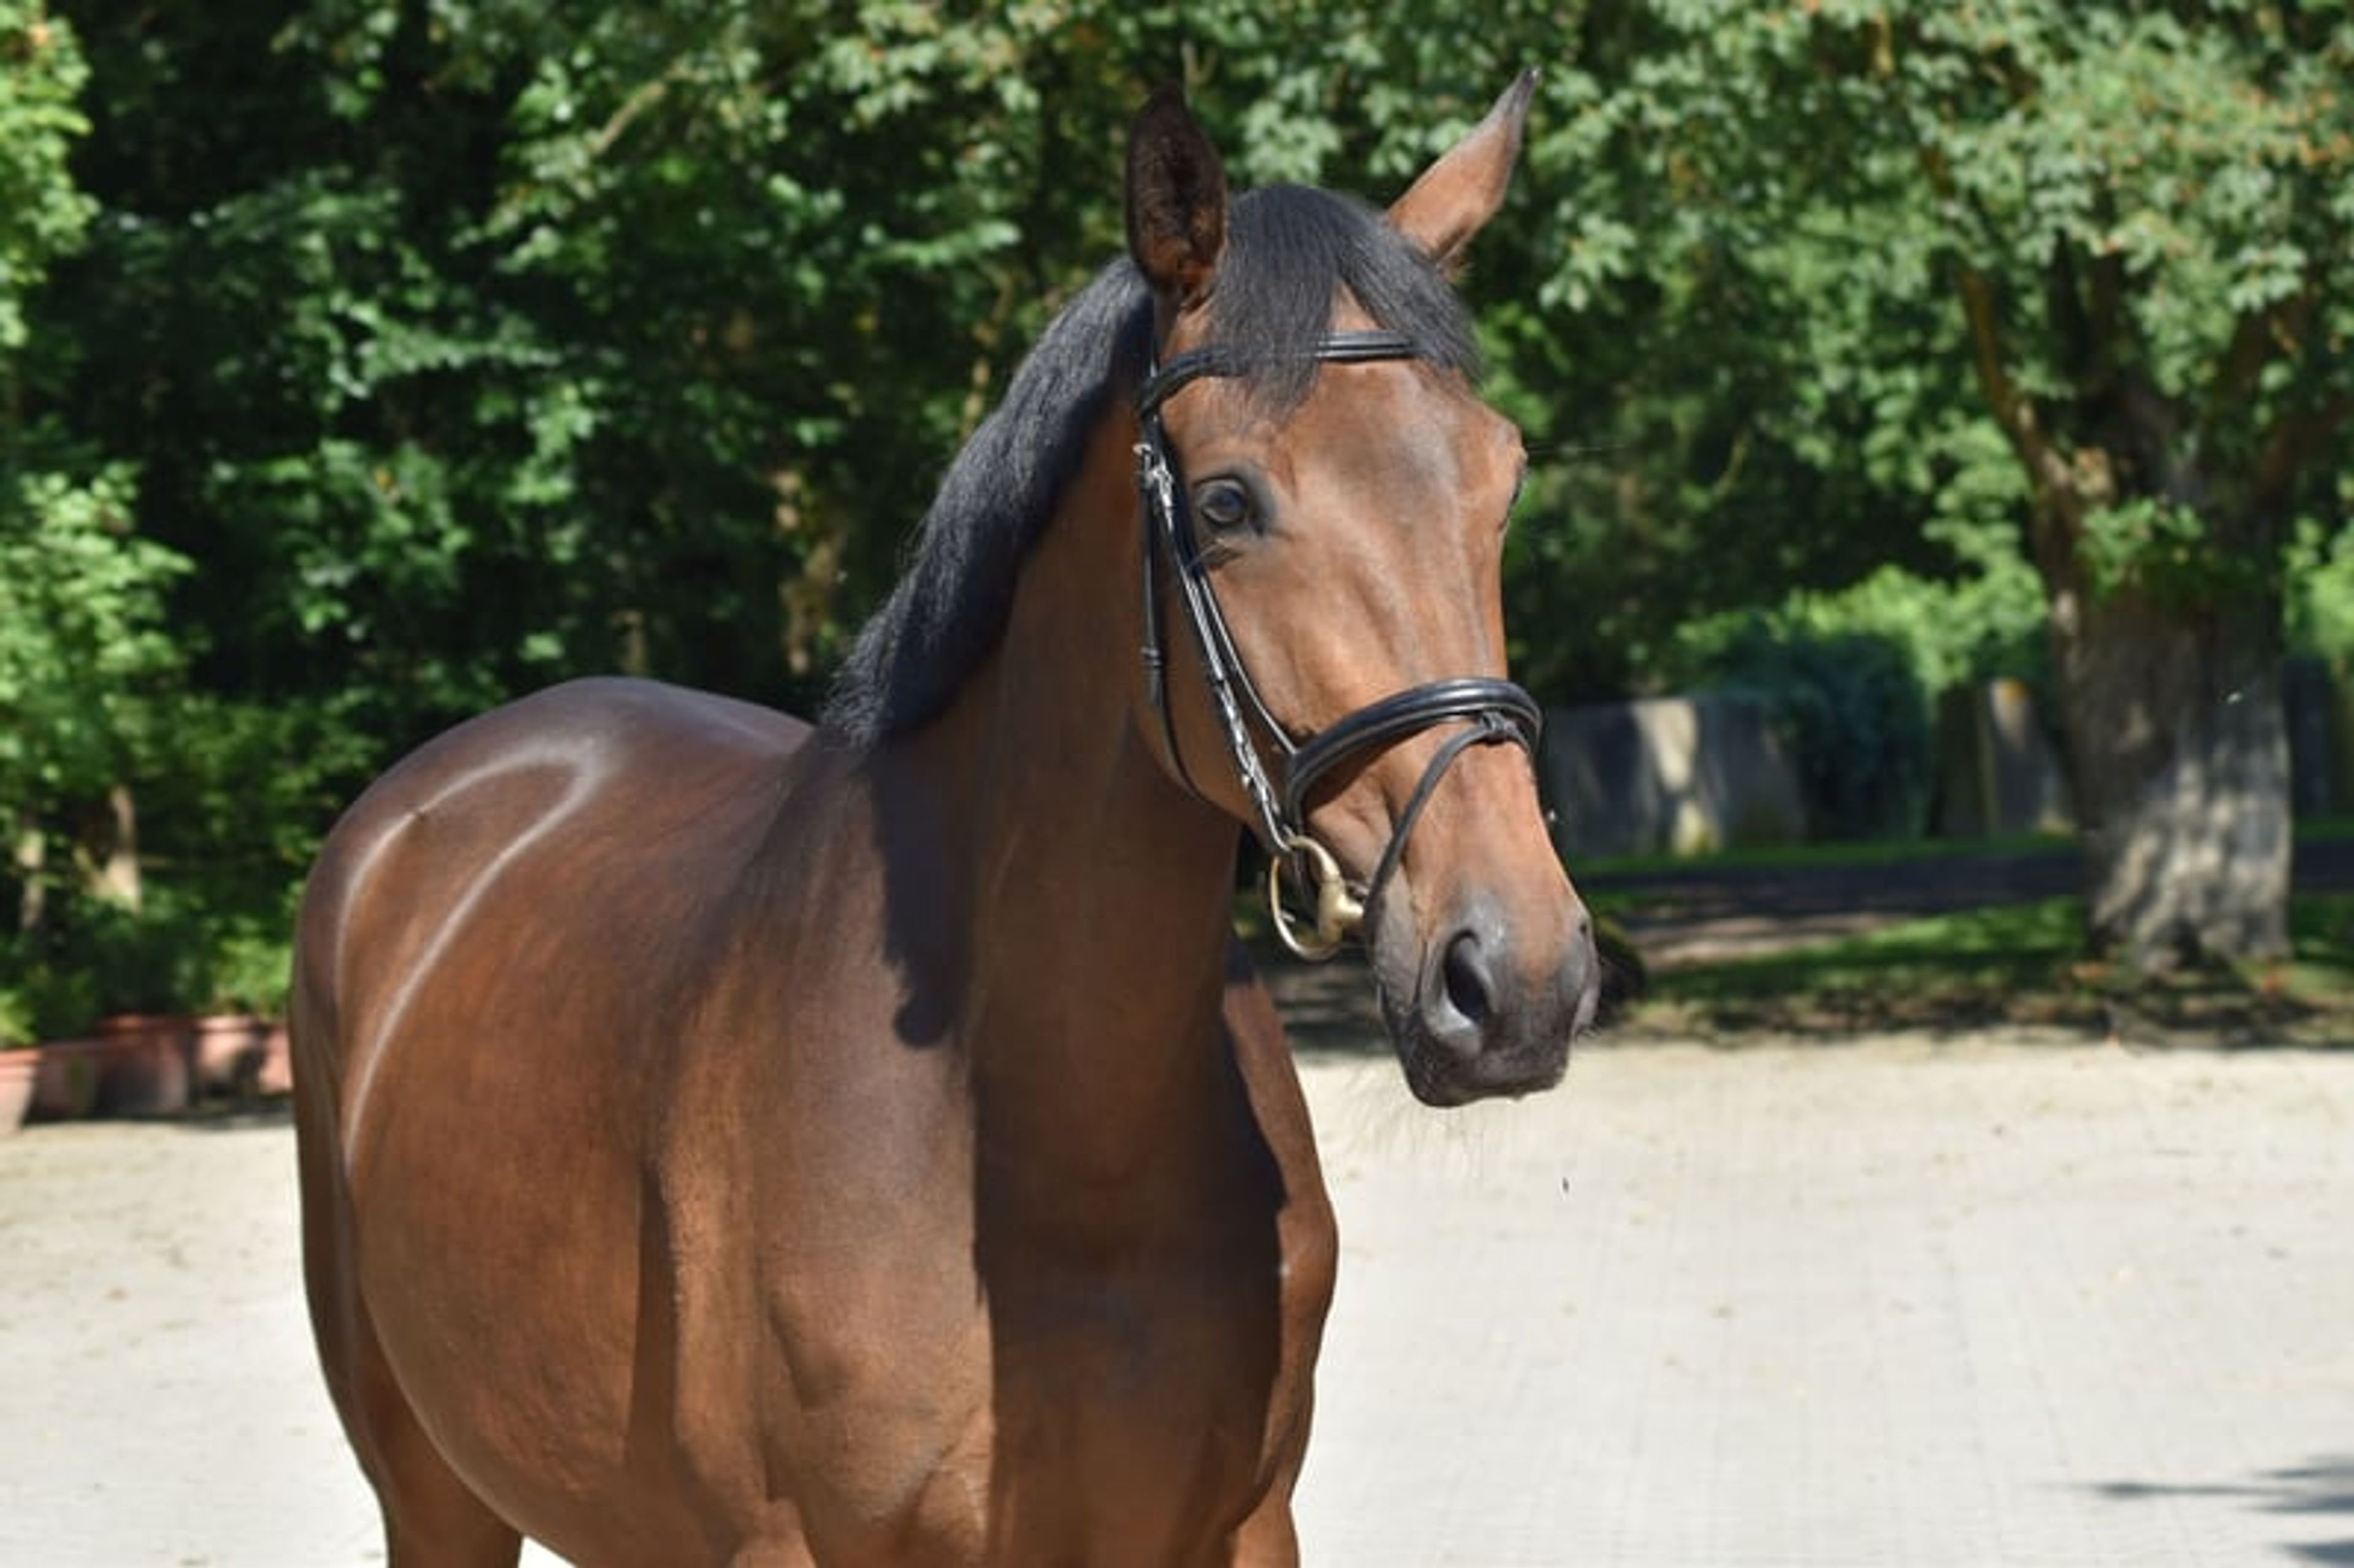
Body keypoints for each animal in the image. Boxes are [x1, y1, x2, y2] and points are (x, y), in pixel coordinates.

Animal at [292, 74, 1597, 1567]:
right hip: (431, 1492)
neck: (1056, 1150)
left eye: (1503, 479)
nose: (1518, 976)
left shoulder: (1246, 1524)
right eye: (1225, 500)